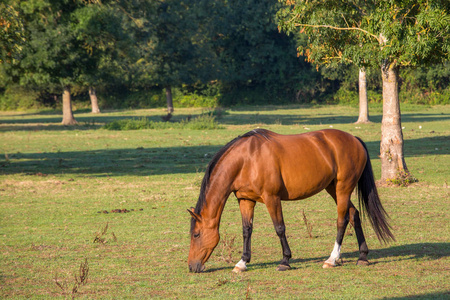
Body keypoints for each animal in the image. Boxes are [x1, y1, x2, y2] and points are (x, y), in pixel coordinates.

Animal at [187, 127, 394, 274]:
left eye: (196, 234)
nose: (191, 266)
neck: (246, 159)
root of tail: (354, 139)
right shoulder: (246, 200)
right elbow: (247, 230)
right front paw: (242, 262)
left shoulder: (272, 198)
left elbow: (279, 228)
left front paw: (285, 261)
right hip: (333, 189)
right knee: (354, 214)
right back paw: (362, 256)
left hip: (343, 189)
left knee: (342, 220)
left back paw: (332, 259)